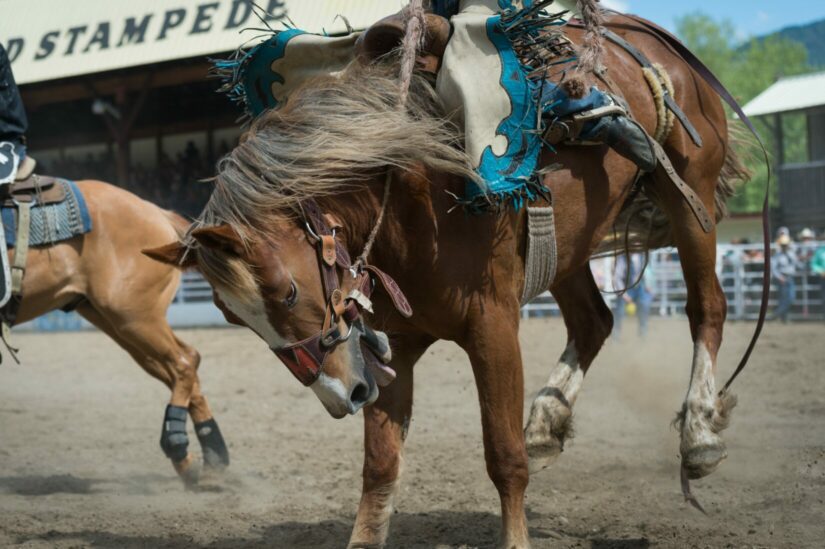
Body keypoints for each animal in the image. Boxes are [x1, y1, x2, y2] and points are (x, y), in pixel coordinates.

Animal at [12, 179, 230, 484]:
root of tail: (155, 211)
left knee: (184, 361)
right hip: (117, 321)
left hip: (133, 317)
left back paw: (179, 448)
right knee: (180, 366)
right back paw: (209, 459)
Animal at [150, 13, 752, 548]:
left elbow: (503, 457)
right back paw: (547, 422)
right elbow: (381, 465)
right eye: (233, 317)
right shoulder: (395, 347)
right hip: (570, 245)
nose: (344, 395)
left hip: (689, 197)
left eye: (288, 291)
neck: (405, 192)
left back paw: (698, 434)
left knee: (707, 307)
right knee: (593, 321)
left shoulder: (492, 325)